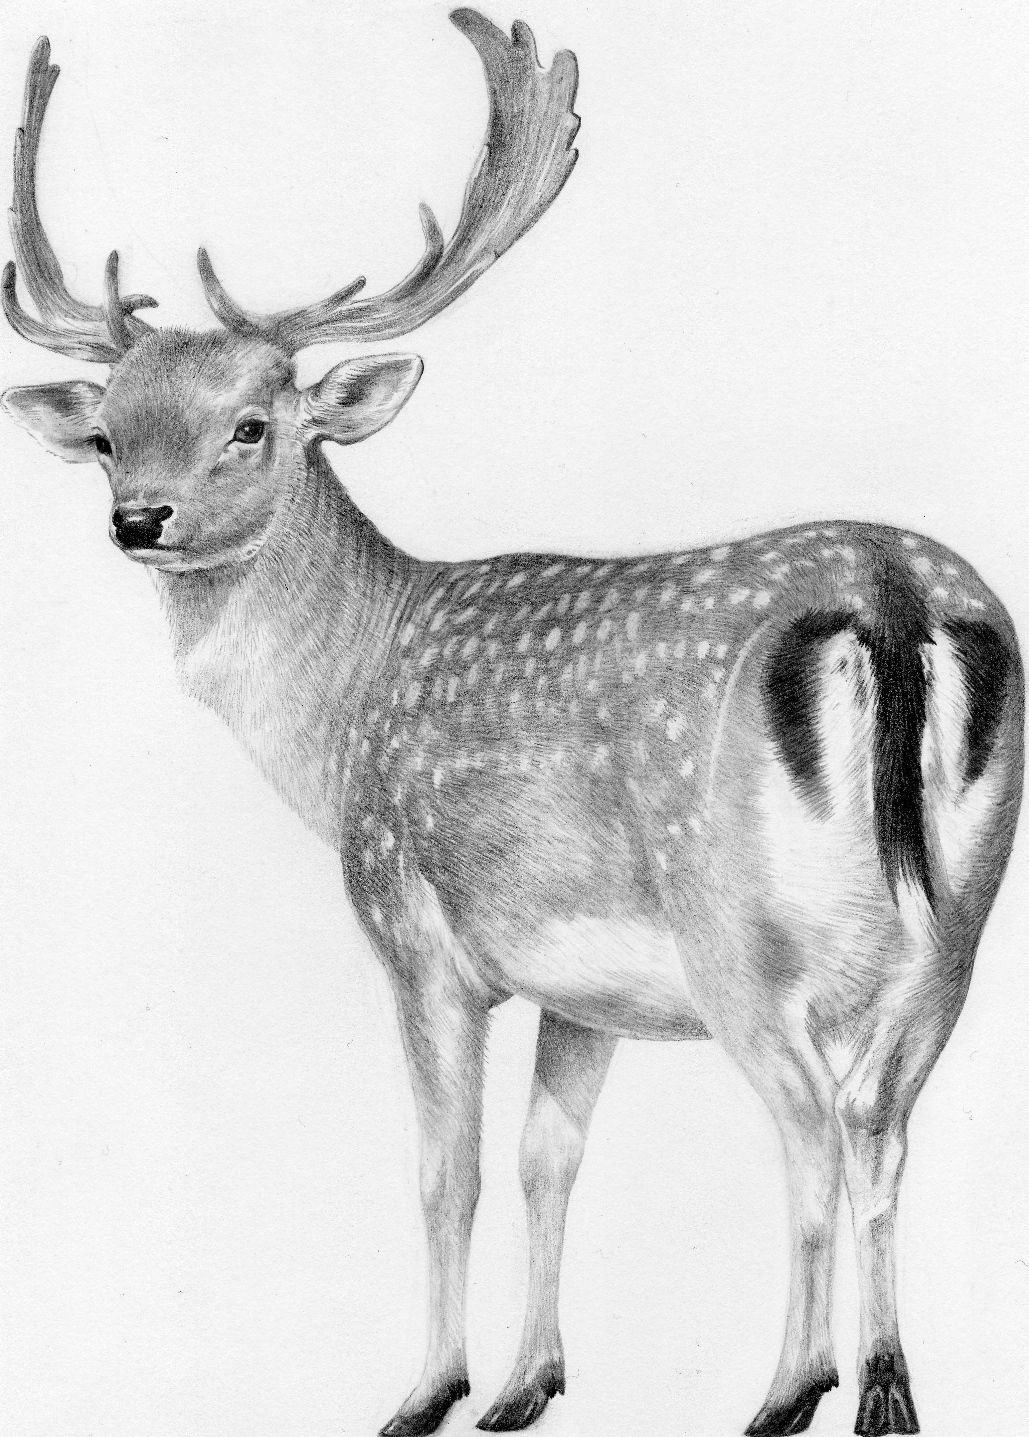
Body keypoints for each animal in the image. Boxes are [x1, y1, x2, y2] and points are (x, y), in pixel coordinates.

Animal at [1, 9, 1023, 1436]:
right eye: (105, 433)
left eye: (251, 426)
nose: (137, 519)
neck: (341, 715)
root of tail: (889, 599)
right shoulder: (583, 987)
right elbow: (551, 1157)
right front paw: (529, 1385)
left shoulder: (417, 933)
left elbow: (451, 1168)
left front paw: (429, 1389)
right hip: (961, 930)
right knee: (887, 1131)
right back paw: (886, 1392)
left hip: (741, 935)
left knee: (816, 1130)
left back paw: (789, 1388)